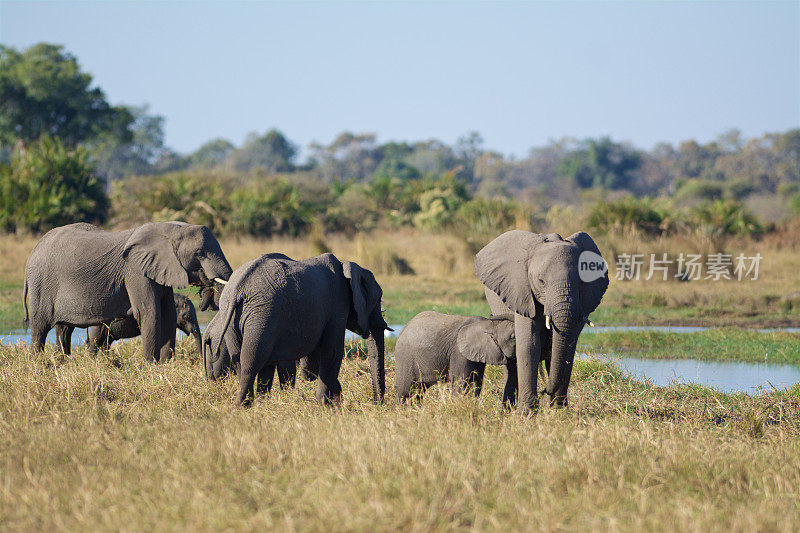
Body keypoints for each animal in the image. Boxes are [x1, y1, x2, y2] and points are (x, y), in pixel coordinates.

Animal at [22, 220, 234, 362]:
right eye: (199, 253)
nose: (208, 292)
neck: (169, 230)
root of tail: (33, 252)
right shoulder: (135, 270)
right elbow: (150, 313)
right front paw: (150, 367)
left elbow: (167, 314)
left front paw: (165, 365)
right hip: (41, 283)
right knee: (40, 328)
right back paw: (37, 365)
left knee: (64, 330)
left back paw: (62, 364)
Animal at [205, 251, 390, 406]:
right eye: (378, 300)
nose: (377, 403)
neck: (347, 268)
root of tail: (238, 288)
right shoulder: (337, 305)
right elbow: (332, 352)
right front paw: (326, 405)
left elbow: (312, 364)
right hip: (262, 315)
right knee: (251, 361)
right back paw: (242, 406)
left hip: (235, 316)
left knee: (245, 362)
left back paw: (253, 404)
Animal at [476, 229, 608, 412]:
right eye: (541, 281)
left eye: (581, 282)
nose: (544, 390)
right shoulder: (522, 294)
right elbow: (529, 344)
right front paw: (526, 413)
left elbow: (568, 348)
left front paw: (559, 412)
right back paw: (508, 409)